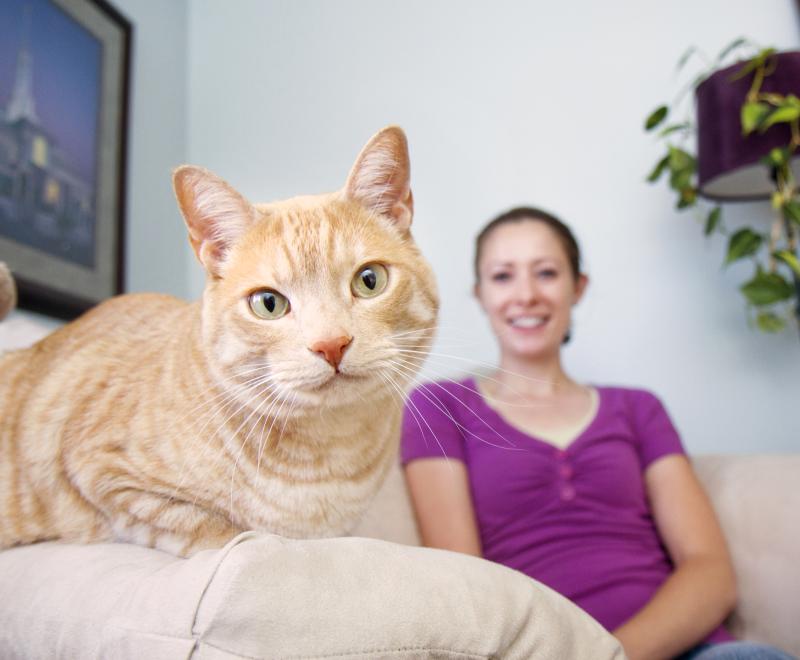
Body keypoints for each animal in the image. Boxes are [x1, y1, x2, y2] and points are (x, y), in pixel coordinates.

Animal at [0, 125, 438, 556]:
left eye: (370, 280)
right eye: (269, 304)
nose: (331, 344)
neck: (332, 449)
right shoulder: (105, 475)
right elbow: (225, 532)